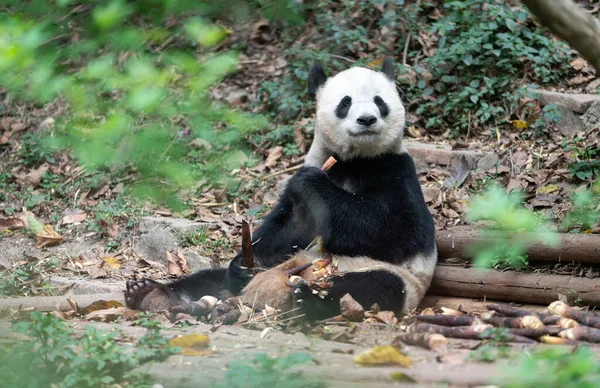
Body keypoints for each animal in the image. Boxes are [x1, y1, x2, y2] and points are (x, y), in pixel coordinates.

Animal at [125, 58, 436, 322]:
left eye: (379, 101)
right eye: (345, 102)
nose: (367, 120)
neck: (355, 160)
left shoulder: (396, 170)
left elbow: (391, 230)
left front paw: (311, 181)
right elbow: (287, 227)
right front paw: (245, 263)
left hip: (392, 279)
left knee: (369, 286)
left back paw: (308, 298)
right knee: (210, 279)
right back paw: (152, 293)